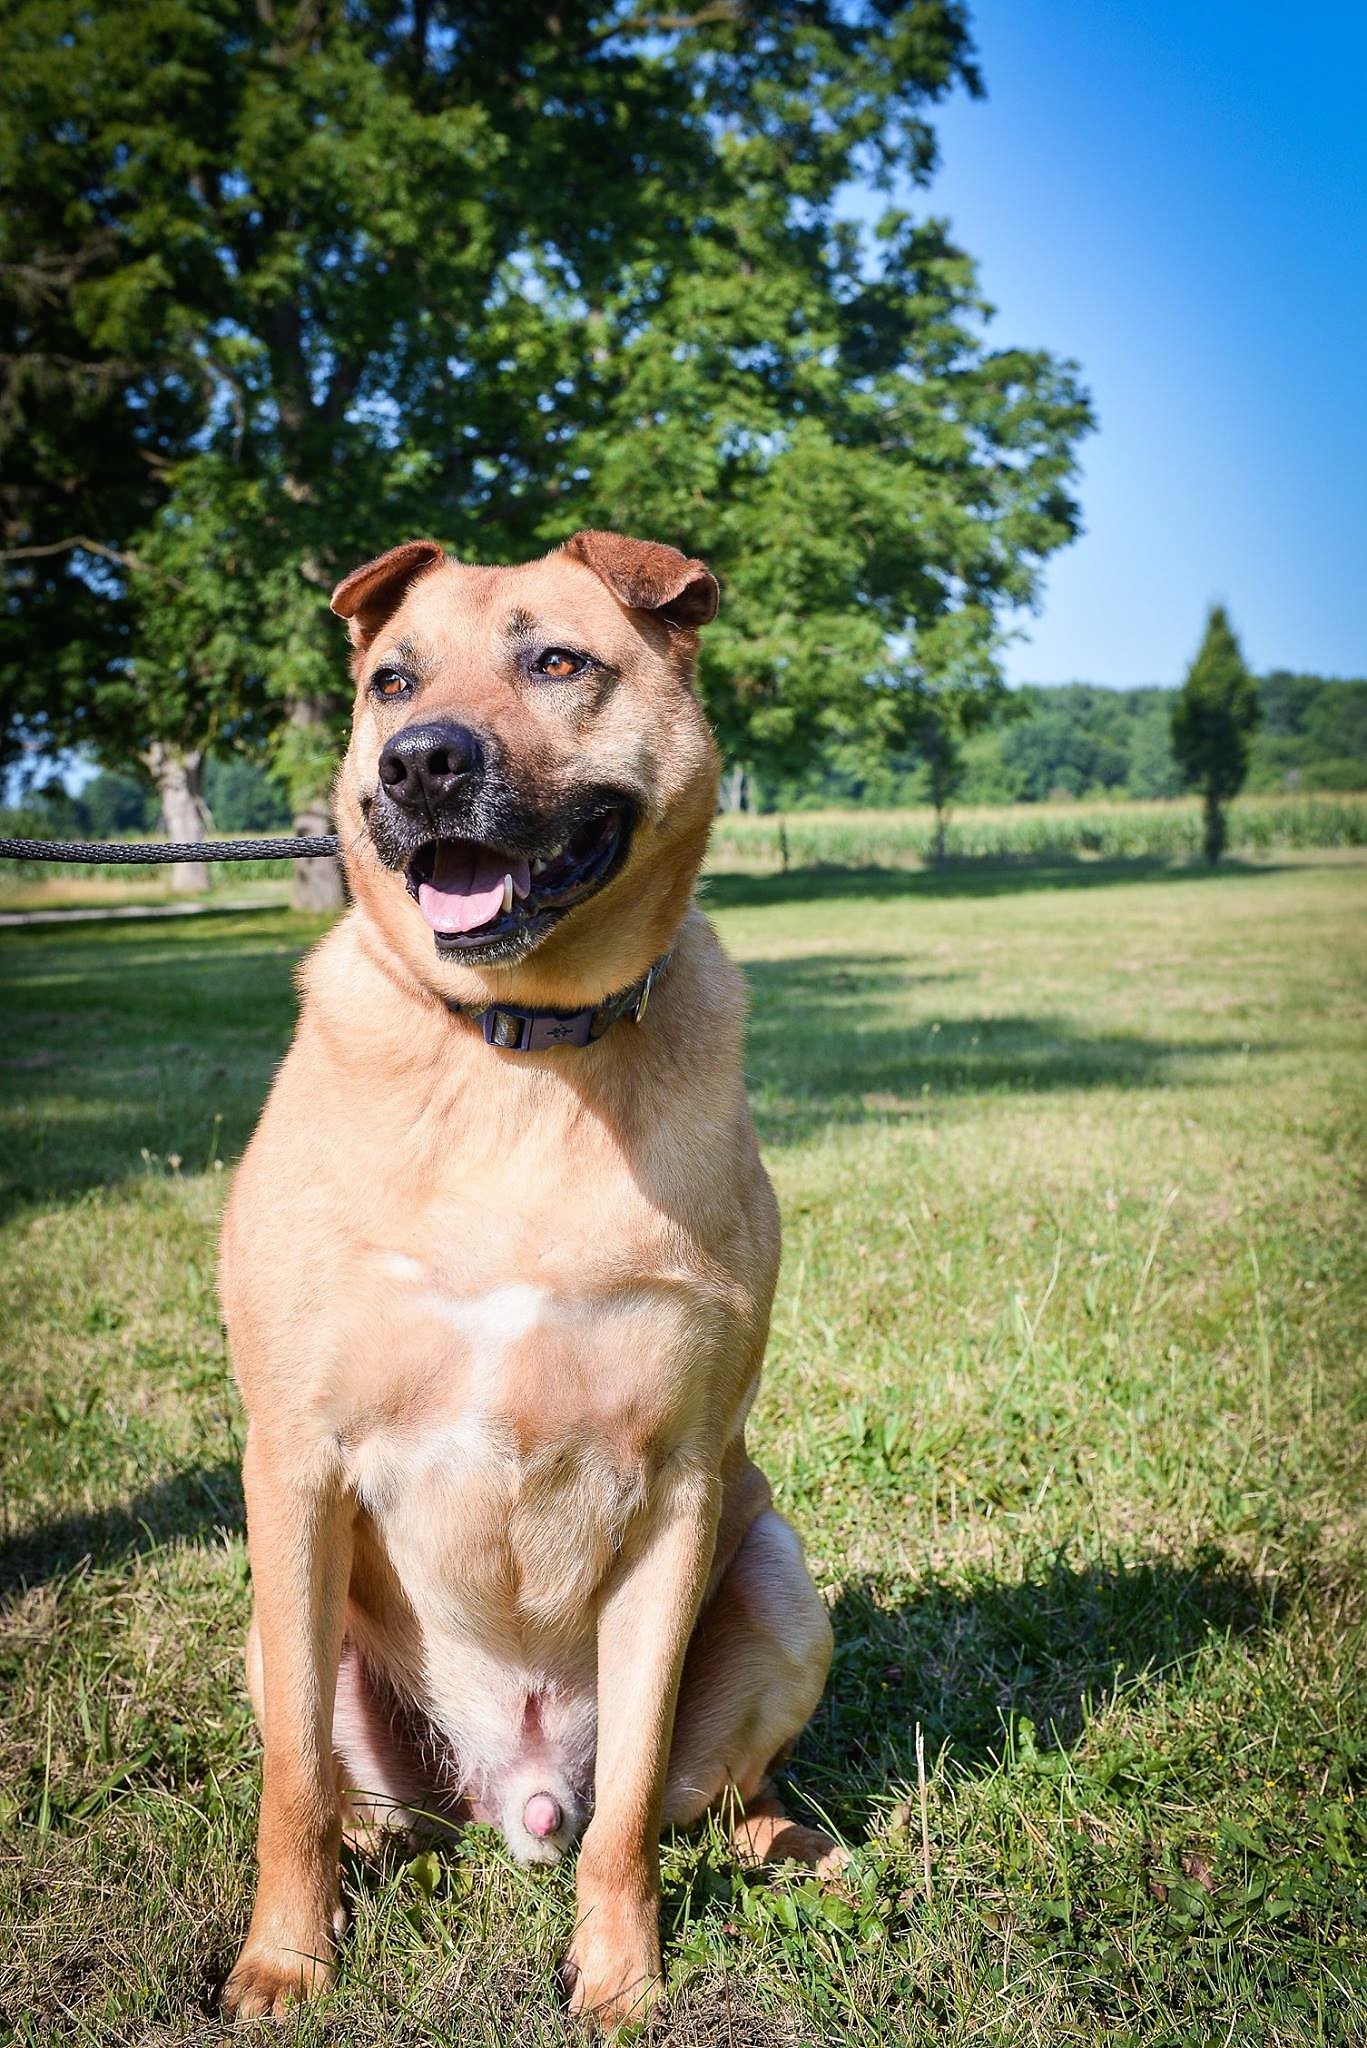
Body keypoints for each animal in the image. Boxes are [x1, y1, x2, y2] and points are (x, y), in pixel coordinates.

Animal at [220, 532, 840, 2031]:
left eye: (556, 660)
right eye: (391, 681)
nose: (419, 764)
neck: (521, 1051)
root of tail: (514, 1802)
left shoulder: (677, 1482)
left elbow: (628, 1818)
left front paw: (620, 1980)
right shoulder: (296, 1461)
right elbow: (290, 1784)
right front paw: (286, 1961)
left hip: (779, 1577)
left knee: (692, 1796)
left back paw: (785, 1838)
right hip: (280, 1632)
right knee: (341, 1789)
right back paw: (361, 1857)